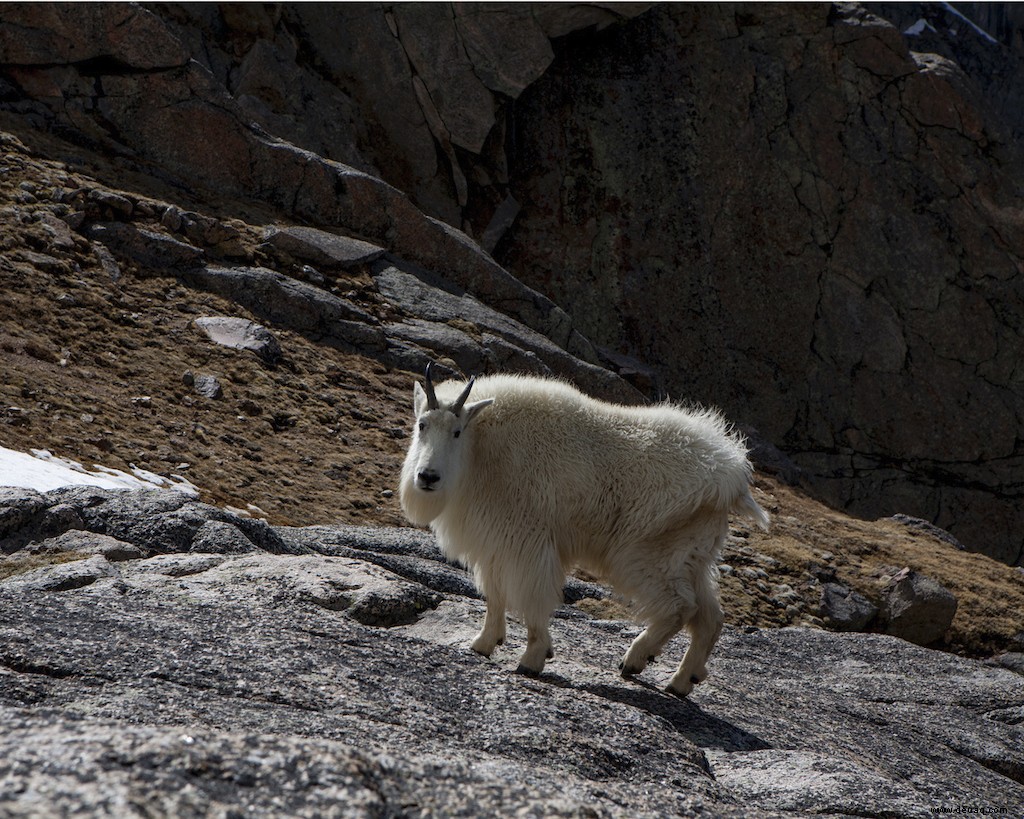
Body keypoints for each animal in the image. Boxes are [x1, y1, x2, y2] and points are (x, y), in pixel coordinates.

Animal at [399, 364, 770, 696]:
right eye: (421, 425)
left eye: (457, 431)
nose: (427, 477)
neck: (483, 447)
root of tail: (732, 475)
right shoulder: (494, 539)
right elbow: (494, 592)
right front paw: (484, 643)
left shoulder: (527, 540)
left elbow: (532, 598)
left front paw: (533, 658)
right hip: (691, 554)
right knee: (710, 617)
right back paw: (681, 681)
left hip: (646, 552)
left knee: (680, 607)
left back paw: (634, 659)